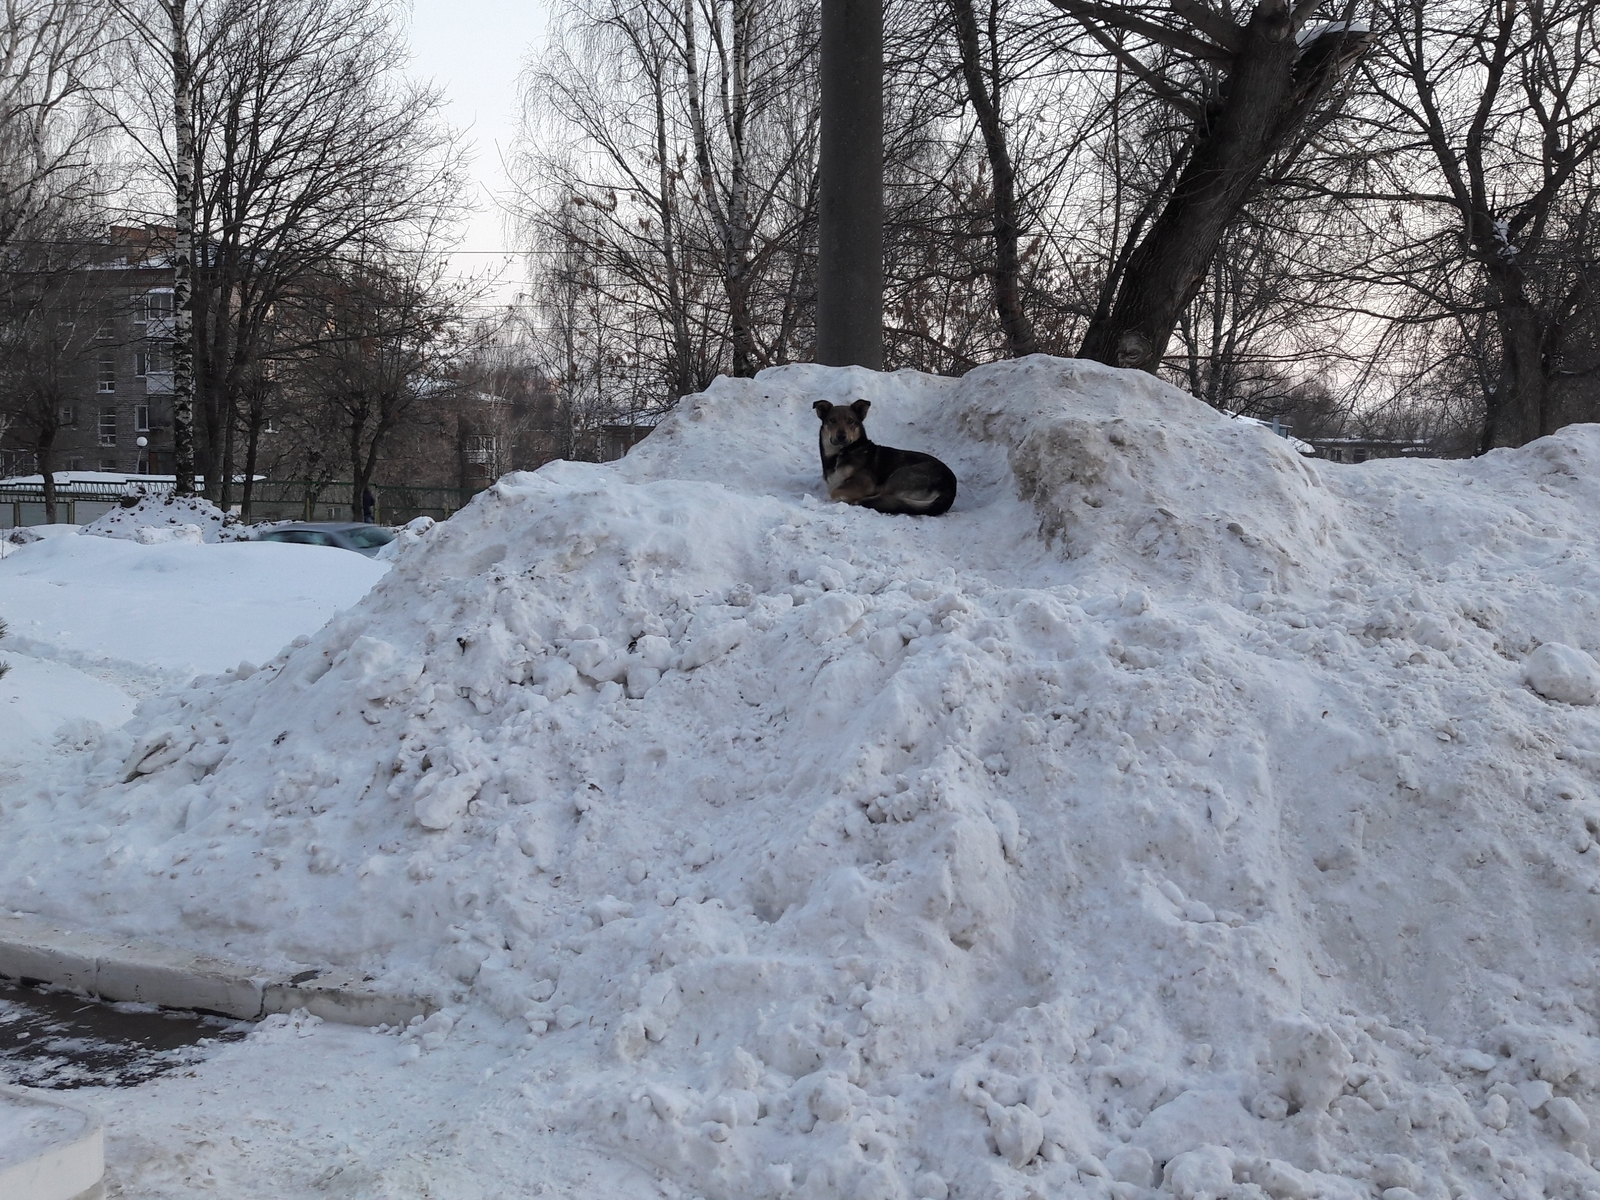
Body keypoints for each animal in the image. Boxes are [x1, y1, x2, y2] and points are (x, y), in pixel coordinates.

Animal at [819, 404, 953, 518]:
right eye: (832, 420)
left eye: (850, 421)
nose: (841, 436)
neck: (841, 452)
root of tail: (950, 488)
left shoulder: (865, 482)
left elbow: (834, 491)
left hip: (899, 476)